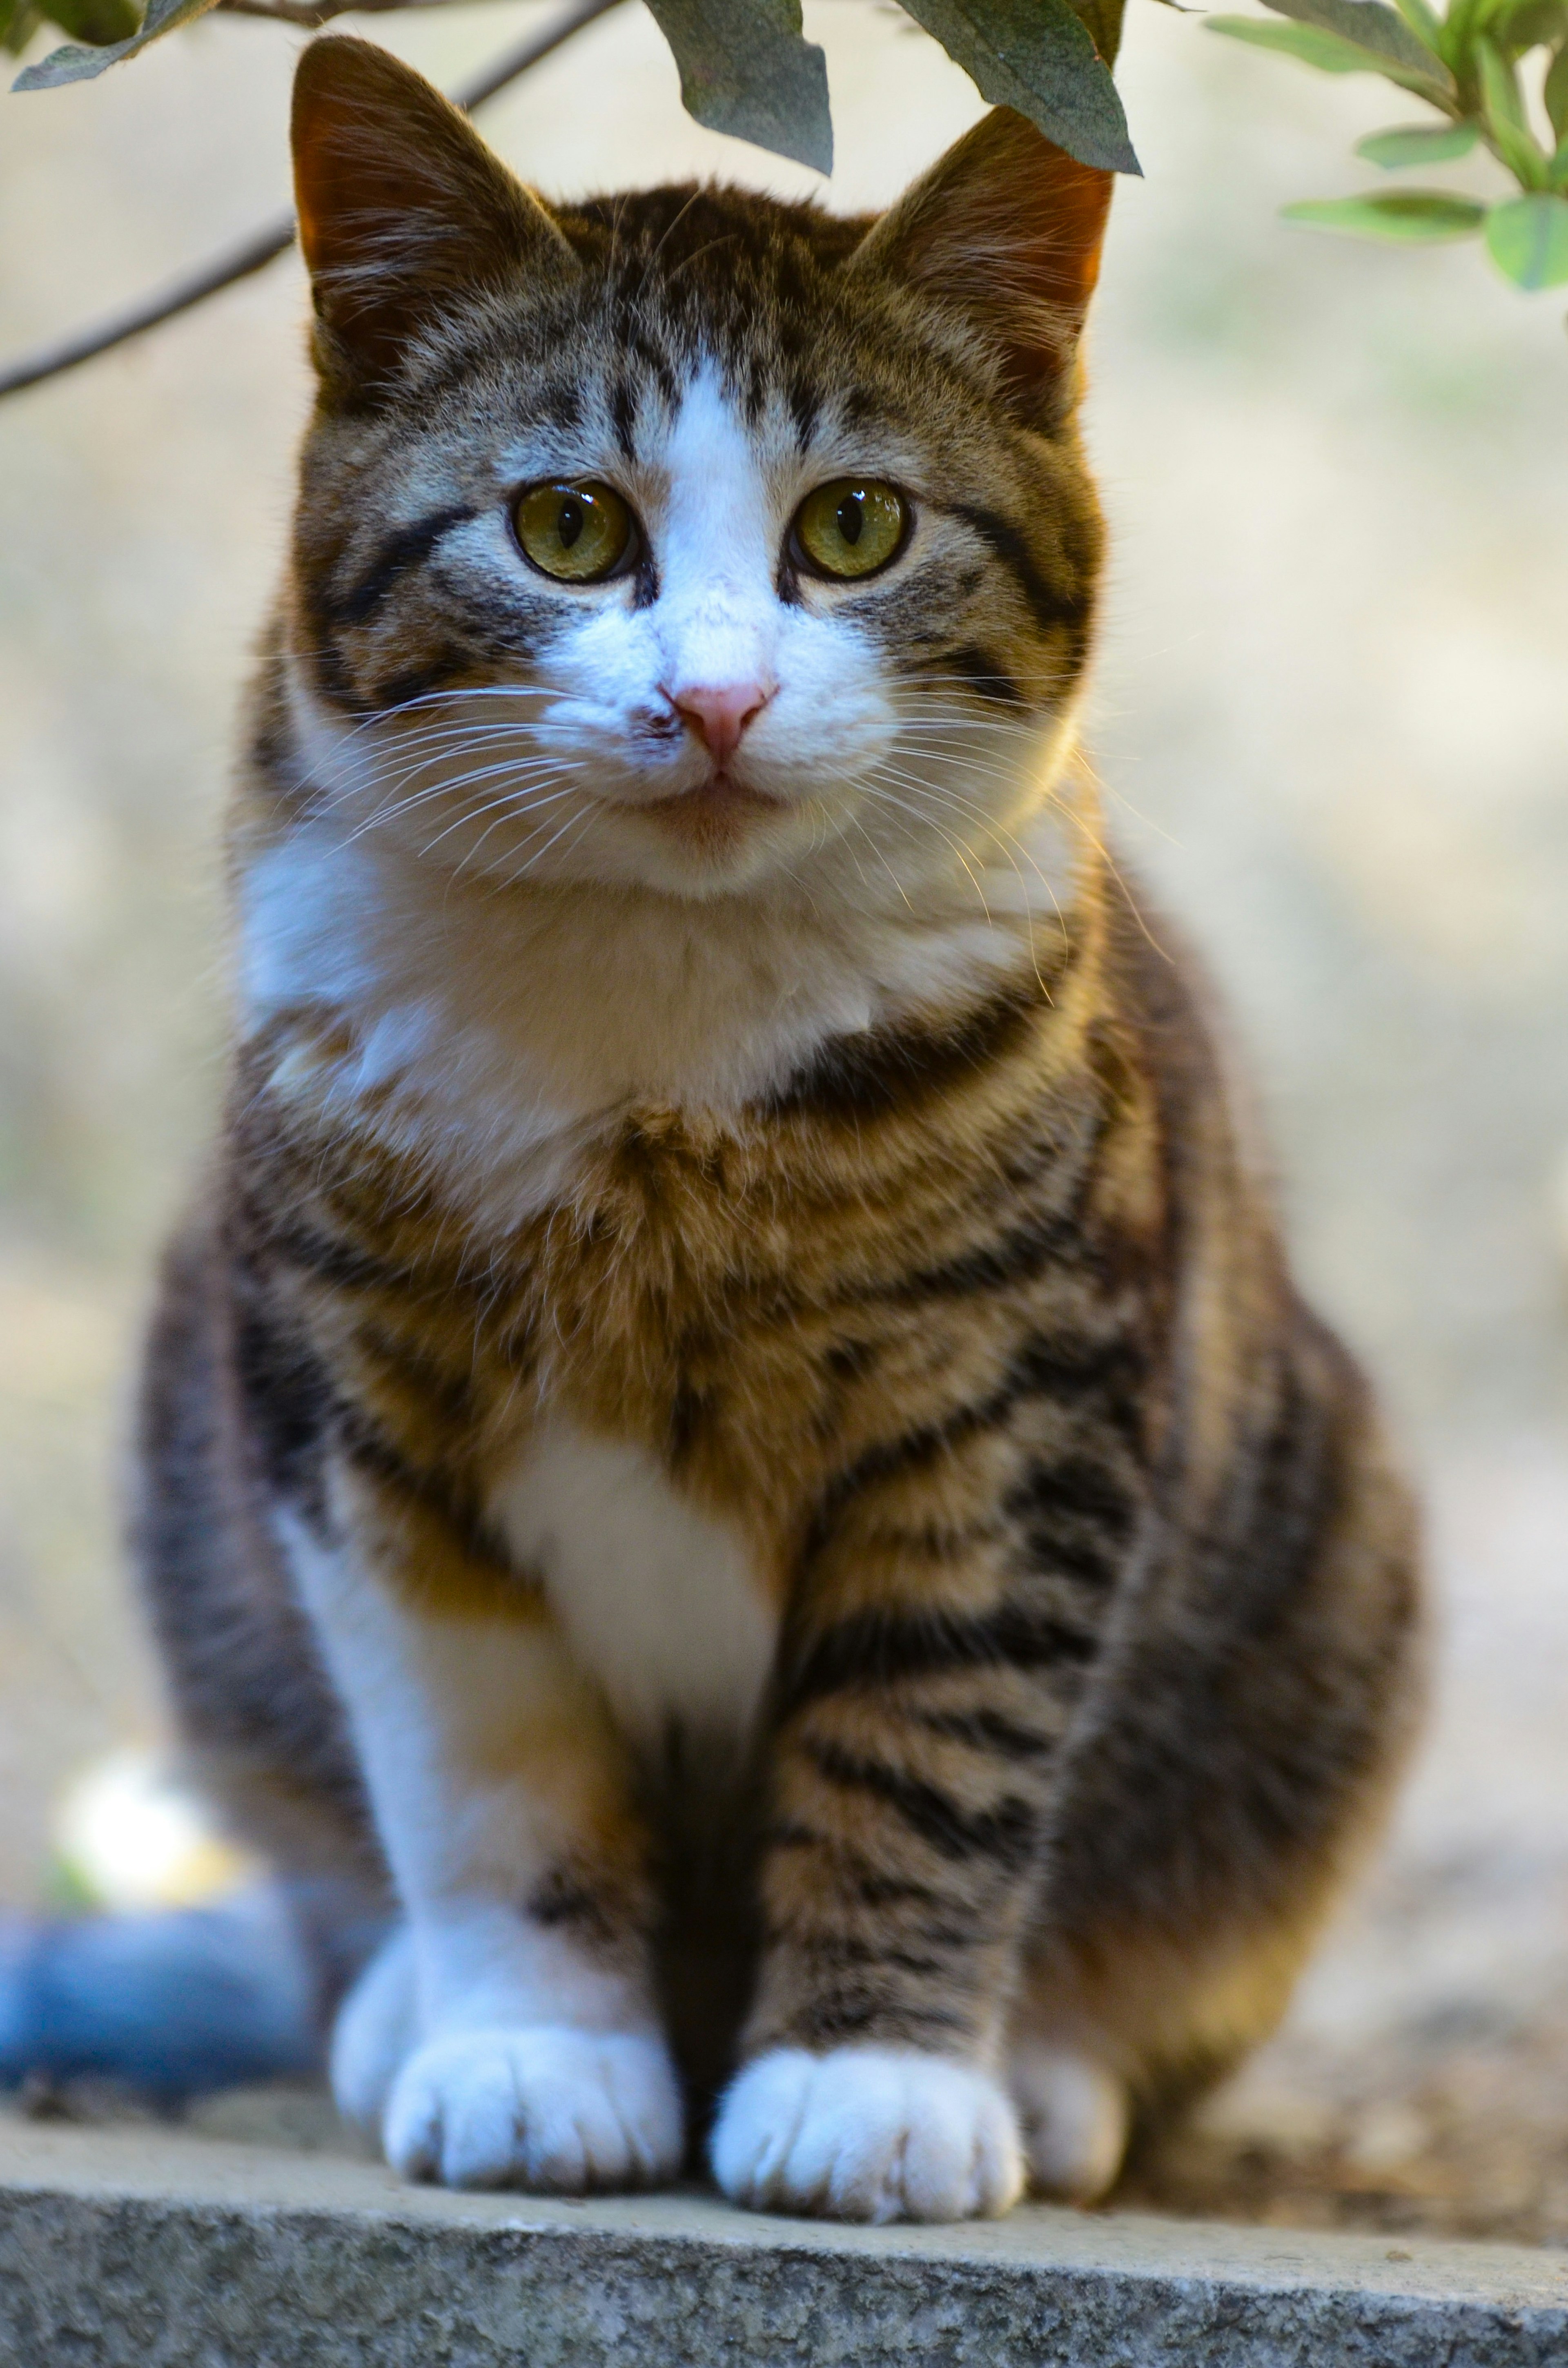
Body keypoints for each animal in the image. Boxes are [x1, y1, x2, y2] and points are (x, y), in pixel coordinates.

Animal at [80, 37, 1430, 2216]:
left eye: (856, 526)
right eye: (564, 529)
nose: (712, 703)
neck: (660, 1039)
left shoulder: (1018, 1410)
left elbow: (936, 1746)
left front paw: (871, 2085)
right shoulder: (356, 1411)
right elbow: (482, 1771)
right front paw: (537, 2052)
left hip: (1334, 1569)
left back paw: (1048, 2062)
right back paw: (398, 2010)